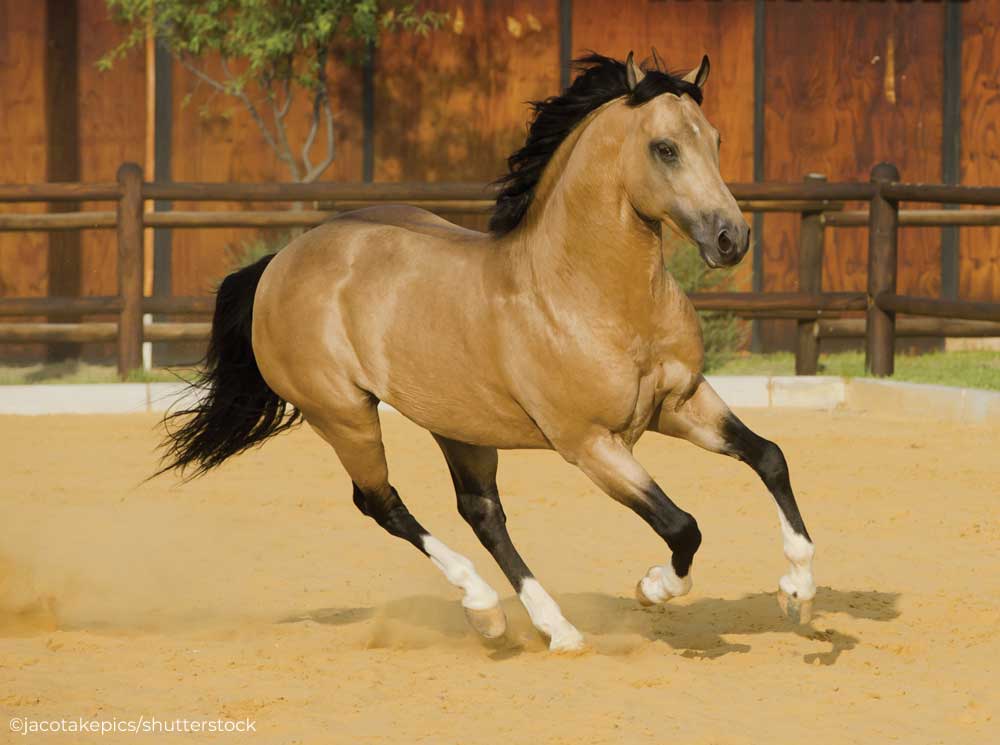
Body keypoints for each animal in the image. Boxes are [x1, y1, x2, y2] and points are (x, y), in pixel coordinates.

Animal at [160, 52, 816, 648]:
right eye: (665, 148)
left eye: (716, 139)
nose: (732, 239)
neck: (587, 293)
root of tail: (281, 263)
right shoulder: (591, 444)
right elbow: (683, 527)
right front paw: (653, 588)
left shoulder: (678, 403)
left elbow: (770, 457)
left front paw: (798, 592)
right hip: (344, 416)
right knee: (381, 503)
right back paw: (486, 609)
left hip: (457, 424)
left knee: (481, 512)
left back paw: (551, 627)